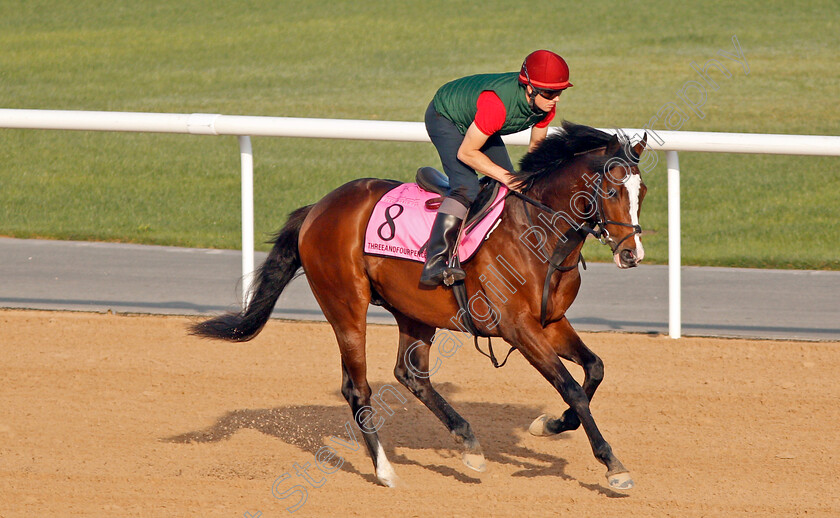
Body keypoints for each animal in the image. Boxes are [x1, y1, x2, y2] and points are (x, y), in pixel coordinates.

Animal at [192, 121, 648, 492]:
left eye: (641, 191)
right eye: (612, 190)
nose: (632, 254)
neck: (539, 236)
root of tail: (318, 208)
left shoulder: (551, 321)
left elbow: (594, 370)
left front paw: (551, 424)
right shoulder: (518, 327)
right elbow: (572, 387)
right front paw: (613, 465)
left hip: (414, 312)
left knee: (411, 374)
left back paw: (468, 442)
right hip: (346, 307)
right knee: (357, 387)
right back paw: (385, 471)